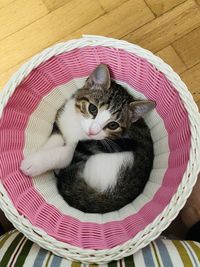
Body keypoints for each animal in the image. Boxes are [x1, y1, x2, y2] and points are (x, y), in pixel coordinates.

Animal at [19, 64, 155, 214]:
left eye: (113, 125)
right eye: (92, 109)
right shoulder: (61, 119)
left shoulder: (82, 148)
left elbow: (65, 154)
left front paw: (35, 163)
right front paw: (41, 152)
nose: (92, 131)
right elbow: (55, 138)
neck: (77, 127)